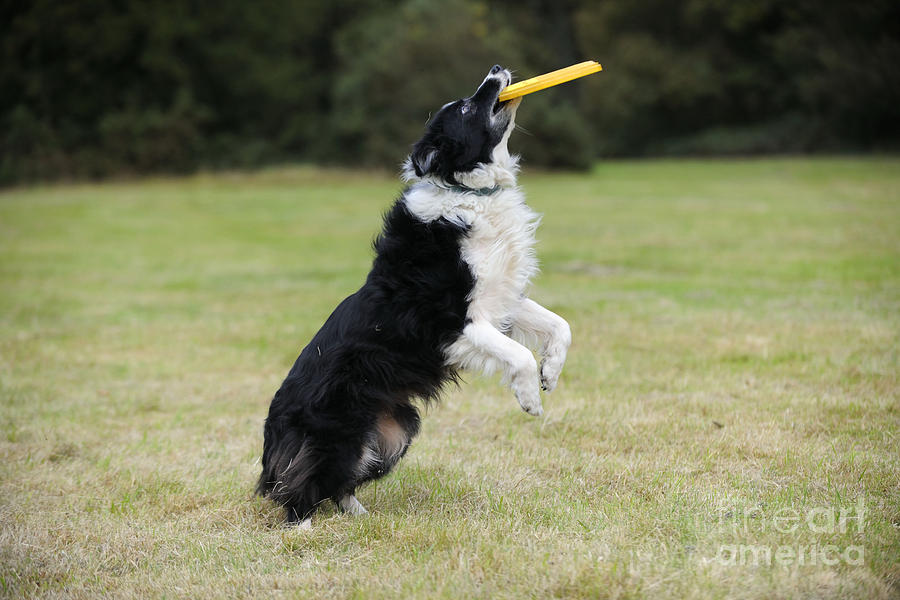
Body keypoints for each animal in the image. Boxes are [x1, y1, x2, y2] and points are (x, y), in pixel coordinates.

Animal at [258, 64, 568, 524]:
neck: (467, 190)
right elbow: (519, 355)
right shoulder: (452, 323)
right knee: (300, 485)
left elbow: (560, 326)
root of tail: (273, 432)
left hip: (395, 430)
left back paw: (360, 515)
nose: (497, 69)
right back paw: (303, 526)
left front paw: (552, 372)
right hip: (337, 434)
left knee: (339, 483)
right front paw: (529, 398)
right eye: (465, 107)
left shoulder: (501, 300)